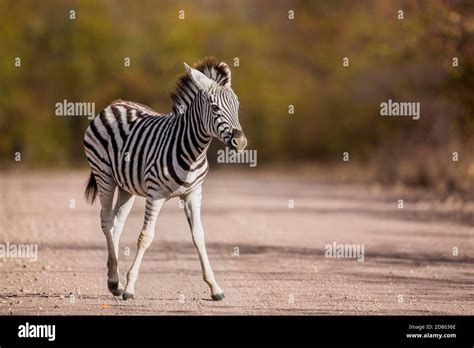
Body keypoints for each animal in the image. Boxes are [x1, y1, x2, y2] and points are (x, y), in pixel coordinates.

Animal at [84, 58, 248, 300]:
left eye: (237, 106)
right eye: (215, 107)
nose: (241, 142)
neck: (193, 151)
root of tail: (115, 104)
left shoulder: (193, 193)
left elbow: (199, 236)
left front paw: (215, 287)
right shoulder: (156, 194)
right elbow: (146, 236)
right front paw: (130, 288)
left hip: (126, 187)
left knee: (116, 223)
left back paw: (115, 281)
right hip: (104, 174)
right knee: (106, 221)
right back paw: (115, 281)